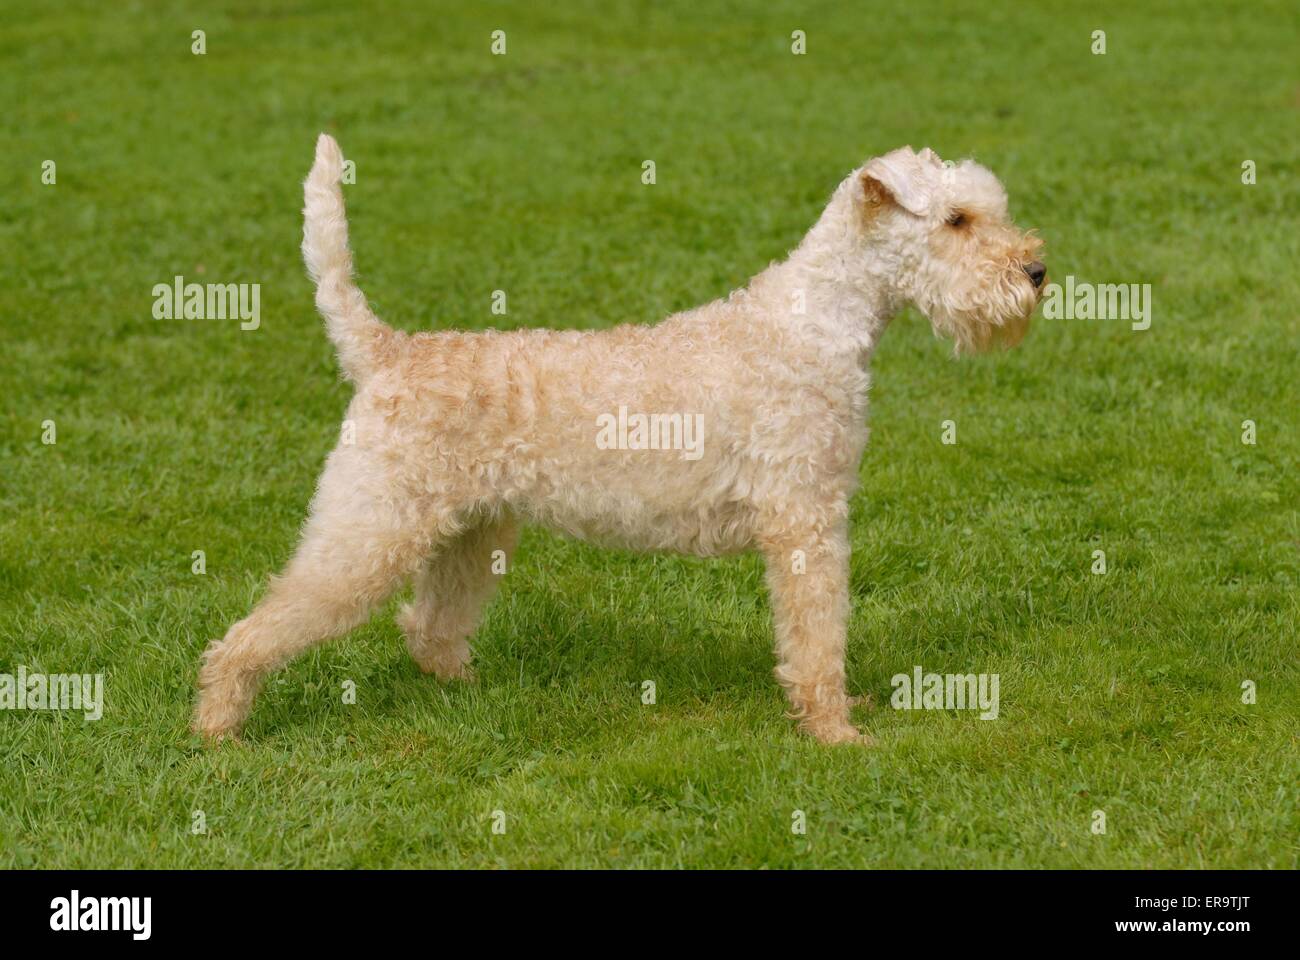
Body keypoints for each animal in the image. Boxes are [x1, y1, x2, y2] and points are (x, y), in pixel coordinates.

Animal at [195, 132, 1045, 738]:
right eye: (956, 220)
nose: (1035, 272)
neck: (818, 325)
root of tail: (385, 352)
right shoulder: (806, 520)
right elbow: (817, 636)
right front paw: (837, 733)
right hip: (368, 530)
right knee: (253, 629)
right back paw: (217, 728)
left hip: (469, 530)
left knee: (428, 625)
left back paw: (469, 690)